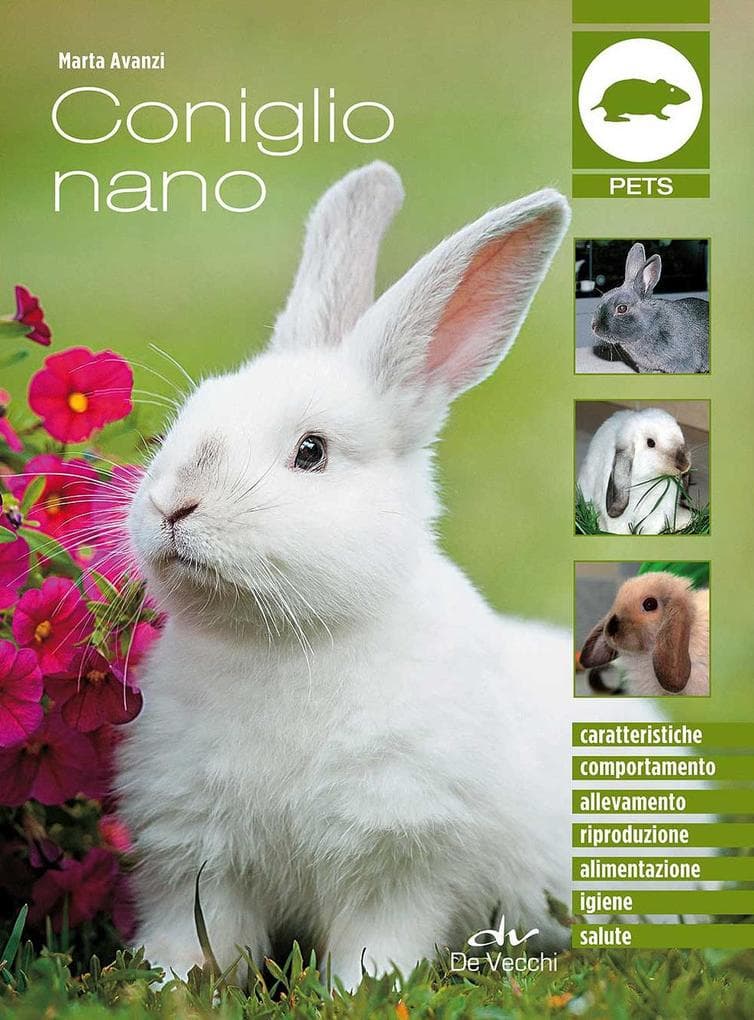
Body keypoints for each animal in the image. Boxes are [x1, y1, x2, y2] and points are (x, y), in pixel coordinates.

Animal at [116, 162, 668, 989]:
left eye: (311, 451)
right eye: (184, 421)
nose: (171, 505)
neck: (282, 641)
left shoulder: (401, 857)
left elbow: (379, 944)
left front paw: (357, 992)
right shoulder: (198, 855)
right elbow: (199, 936)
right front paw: (167, 982)